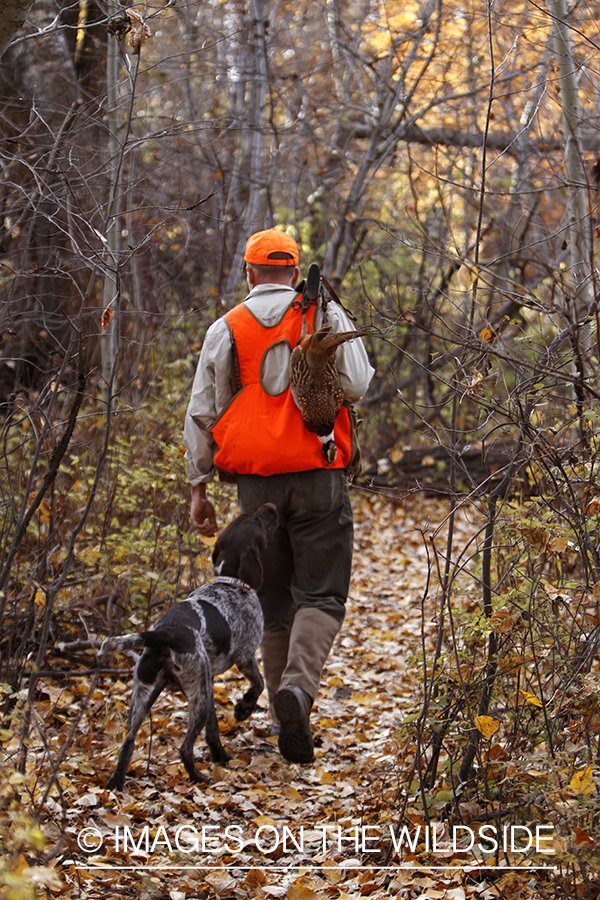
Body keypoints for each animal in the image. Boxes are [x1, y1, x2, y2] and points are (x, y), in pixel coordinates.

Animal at [99, 502, 278, 792]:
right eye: (258, 521)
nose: (271, 506)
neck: (230, 580)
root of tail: (164, 635)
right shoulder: (245, 656)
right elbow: (259, 684)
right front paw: (243, 709)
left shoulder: (209, 681)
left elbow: (213, 730)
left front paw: (220, 756)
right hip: (197, 698)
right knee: (184, 748)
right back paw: (198, 778)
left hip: (145, 695)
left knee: (128, 742)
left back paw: (116, 784)